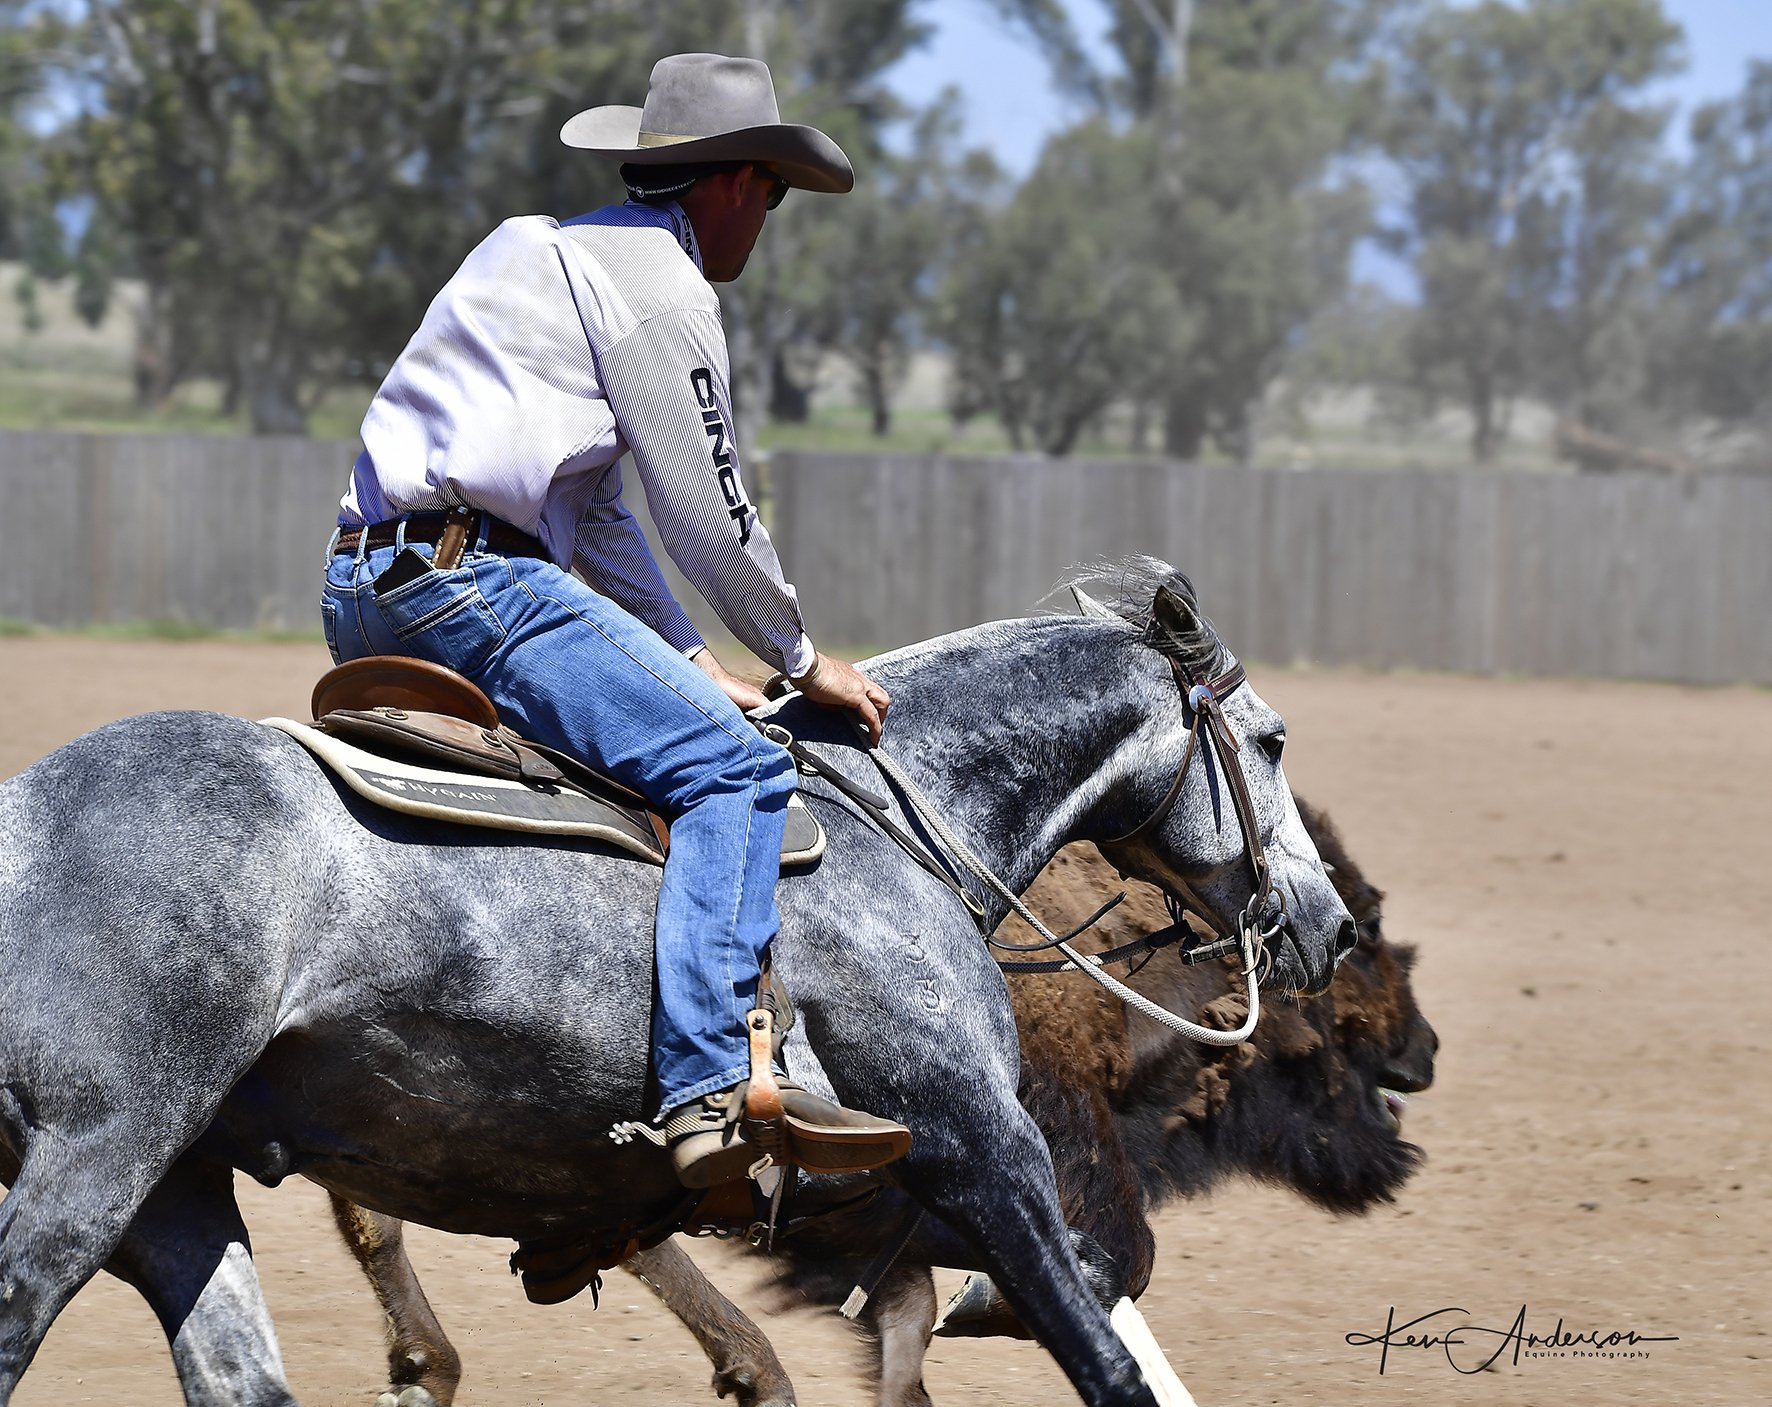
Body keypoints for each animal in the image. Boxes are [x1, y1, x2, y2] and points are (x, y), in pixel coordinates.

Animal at [0, 561, 1354, 1407]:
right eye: (1272, 740)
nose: (1329, 926)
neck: (896, 821)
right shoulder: (978, 1142)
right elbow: (1099, 1336)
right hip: (96, 1155)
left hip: (176, 1191)